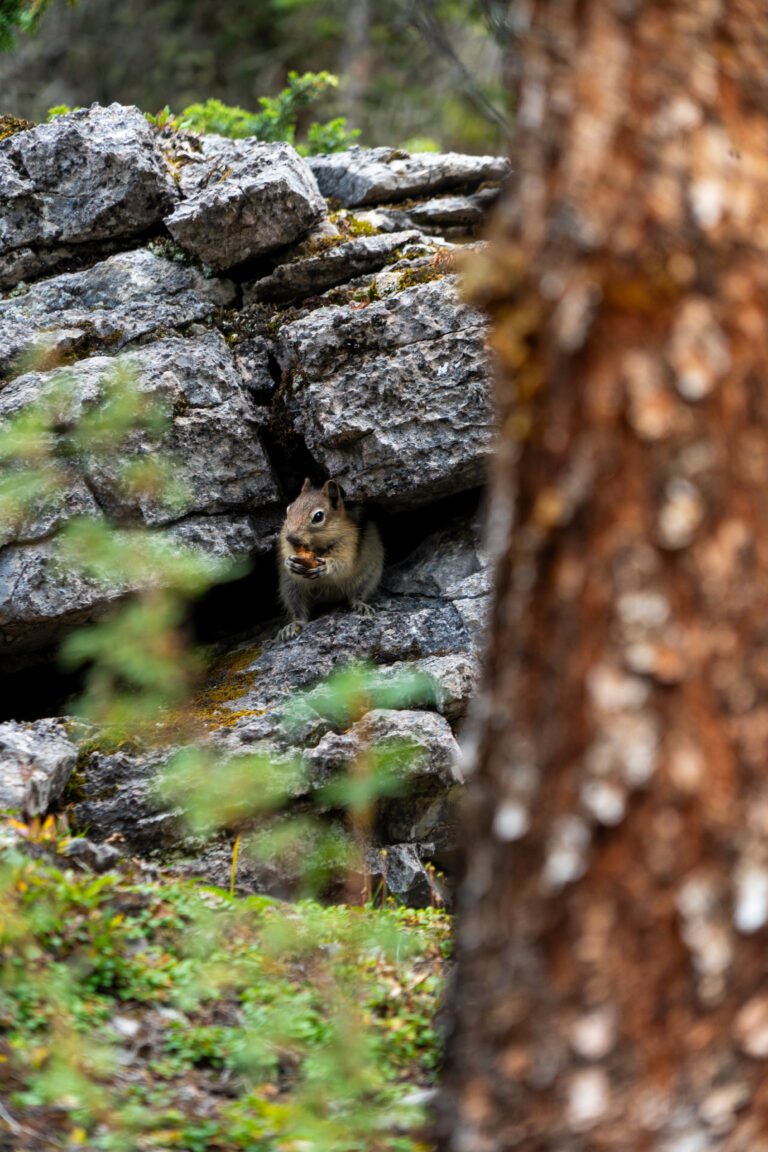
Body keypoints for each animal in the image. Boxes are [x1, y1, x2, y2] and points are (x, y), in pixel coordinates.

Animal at [277, 478, 384, 641]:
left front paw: (326, 566)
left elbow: (343, 563)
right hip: (290, 588)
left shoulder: (348, 541)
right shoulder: (285, 541)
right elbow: (286, 552)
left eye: (318, 516)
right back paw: (293, 625)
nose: (291, 538)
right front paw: (289, 563)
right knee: (299, 611)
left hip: (369, 576)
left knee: (356, 595)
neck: (317, 548)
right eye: (289, 509)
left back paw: (361, 605)